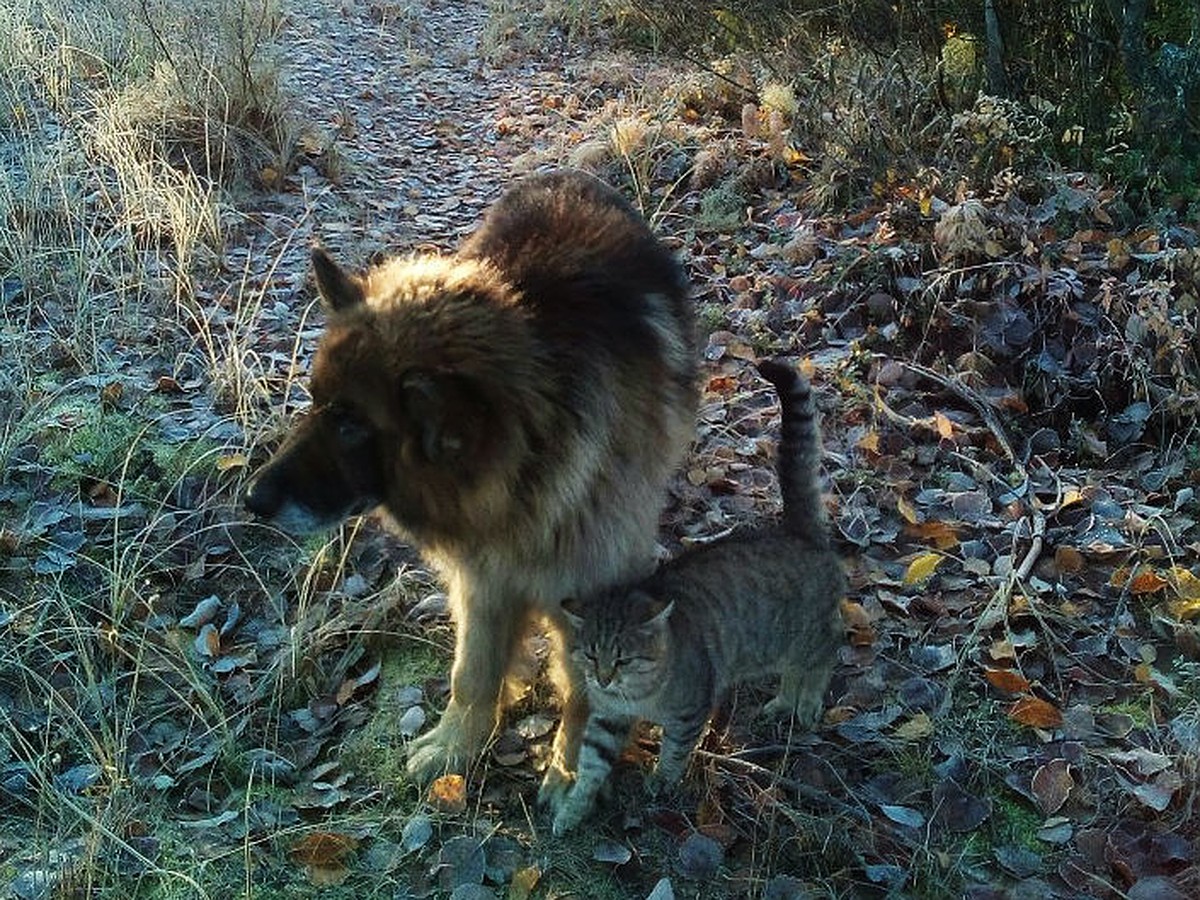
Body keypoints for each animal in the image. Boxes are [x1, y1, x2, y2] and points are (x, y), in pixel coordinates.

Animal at [243, 169, 696, 787]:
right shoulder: (484, 579)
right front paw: (457, 745)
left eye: (350, 424)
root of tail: (566, 173)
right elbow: (473, 672)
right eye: (314, 403)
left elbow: (588, 688)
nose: (252, 498)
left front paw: (573, 770)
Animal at [544, 360, 844, 840]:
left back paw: (808, 702)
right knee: (796, 669)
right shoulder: (606, 720)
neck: (639, 695)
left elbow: (675, 750)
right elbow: (590, 767)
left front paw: (662, 781)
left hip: (802, 635)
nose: (604, 679)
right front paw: (573, 809)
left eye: (623, 658)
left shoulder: (690, 710)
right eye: (590, 655)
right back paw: (783, 702)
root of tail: (798, 532)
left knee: (828, 649)